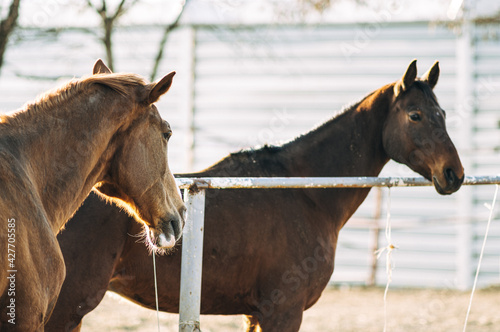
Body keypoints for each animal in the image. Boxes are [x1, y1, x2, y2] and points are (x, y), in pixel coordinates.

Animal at [47, 60, 464, 332]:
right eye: (415, 115)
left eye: (442, 113)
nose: (453, 174)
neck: (305, 194)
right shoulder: (283, 313)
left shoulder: (257, 313)